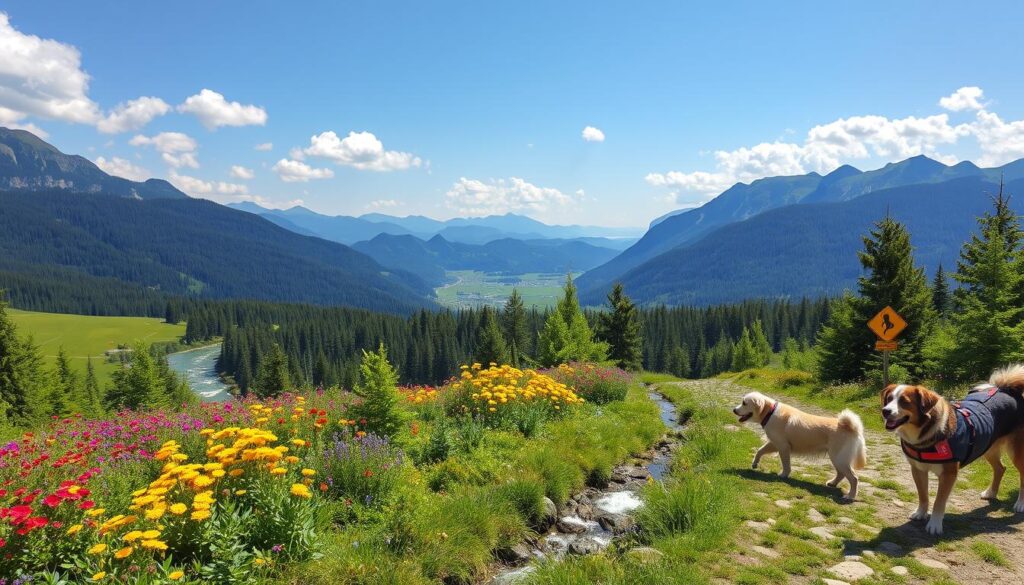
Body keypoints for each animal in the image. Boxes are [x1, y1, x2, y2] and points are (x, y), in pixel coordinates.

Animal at [733, 391, 868, 502]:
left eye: (744, 403)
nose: (734, 410)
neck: (769, 412)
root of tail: (852, 428)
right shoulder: (774, 443)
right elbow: (759, 451)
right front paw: (754, 464)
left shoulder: (783, 446)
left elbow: (786, 464)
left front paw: (784, 475)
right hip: (837, 458)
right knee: (841, 474)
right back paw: (832, 483)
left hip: (839, 458)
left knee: (854, 478)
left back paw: (850, 496)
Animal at [880, 364, 1024, 536]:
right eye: (889, 399)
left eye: (904, 402)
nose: (885, 411)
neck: (925, 432)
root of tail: (1008, 390)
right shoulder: (918, 469)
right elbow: (923, 495)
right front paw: (921, 512)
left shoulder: (948, 474)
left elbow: (939, 501)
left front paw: (934, 524)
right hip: (988, 446)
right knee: (1001, 468)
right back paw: (991, 493)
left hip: (1017, 451)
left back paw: (1020, 503)